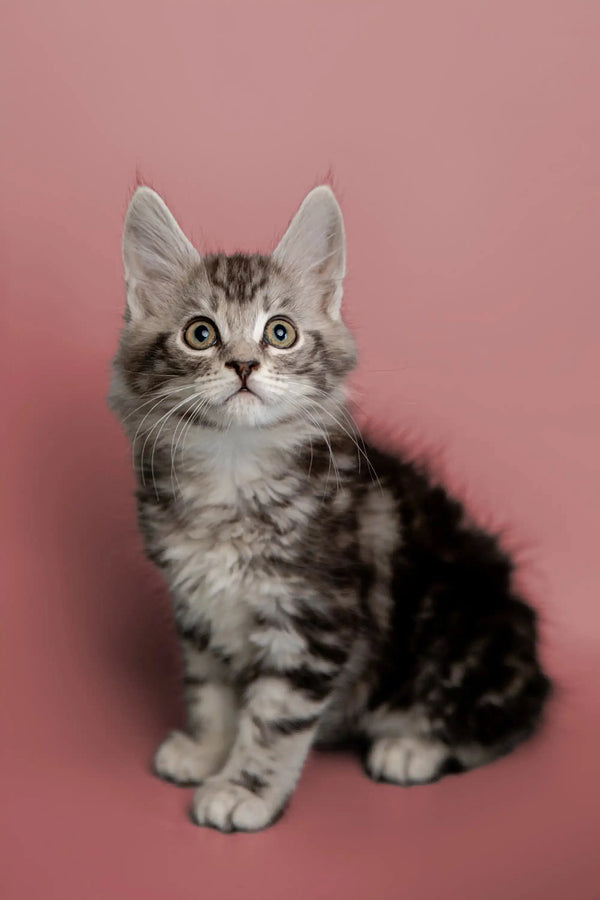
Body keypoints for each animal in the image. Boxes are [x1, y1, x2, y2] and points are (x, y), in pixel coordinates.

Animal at [109, 186, 552, 832]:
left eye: (280, 332)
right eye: (201, 334)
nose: (243, 365)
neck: (234, 468)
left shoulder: (313, 619)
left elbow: (272, 721)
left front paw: (242, 788)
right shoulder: (197, 605)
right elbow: (211, 691)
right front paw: (207, 750)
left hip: (465, 633)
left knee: (508, 719)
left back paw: (412, 747)